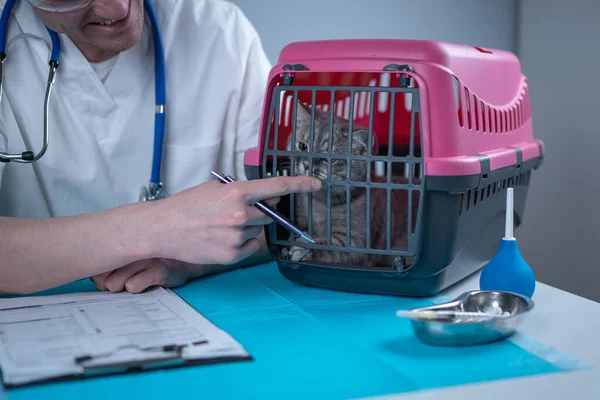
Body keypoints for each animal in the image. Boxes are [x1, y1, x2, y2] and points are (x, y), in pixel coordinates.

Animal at [284, 101, 420, 268]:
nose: (306, 165)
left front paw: (305, 248)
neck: (320, 201)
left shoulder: (354, 243)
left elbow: (328, 248)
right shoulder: (301, 217)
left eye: (330, 159)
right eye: (303, 146)